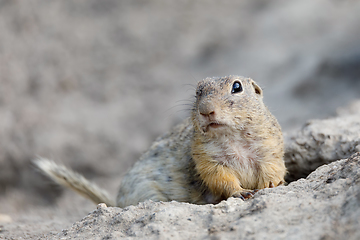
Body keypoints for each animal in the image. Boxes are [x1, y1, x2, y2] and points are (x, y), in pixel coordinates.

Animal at [34, 75, 286, 208]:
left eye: (237, 86)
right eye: (198, 92)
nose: (205, 110)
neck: (232, 138)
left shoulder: (270, 150)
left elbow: (273, 170)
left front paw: (273, 185)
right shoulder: (208, 162)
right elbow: (222, 180)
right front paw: (240, 193)